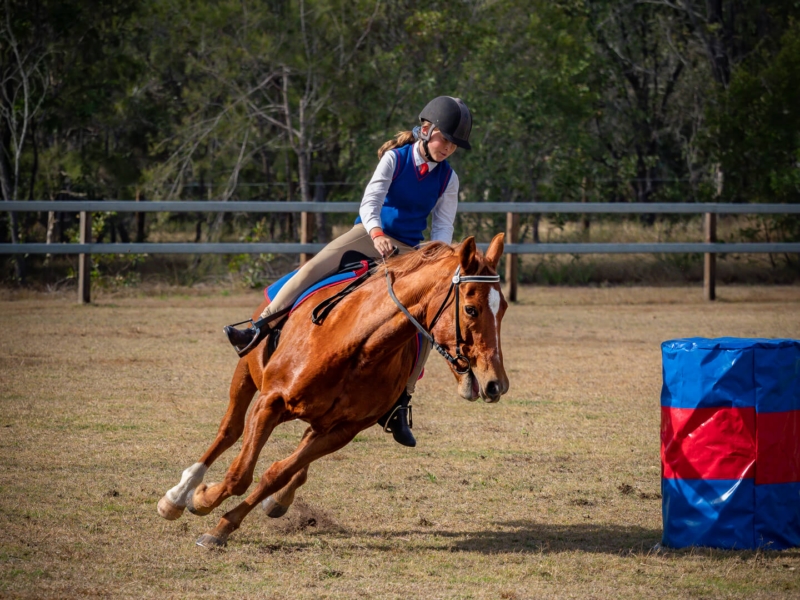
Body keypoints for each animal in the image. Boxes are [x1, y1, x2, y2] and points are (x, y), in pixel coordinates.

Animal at [157, 234, 510, 548]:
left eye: (504, 307)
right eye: (471, 309)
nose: (497, 384)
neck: (359, 347)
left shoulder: (341, 431)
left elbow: (275, 474)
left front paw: (223, 525)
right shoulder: (270, 403)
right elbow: (240, 474)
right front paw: (202, 500)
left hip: (316, 421)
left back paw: (275, 499)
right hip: (245, 374)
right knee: (228, 431)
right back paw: (178, 495)